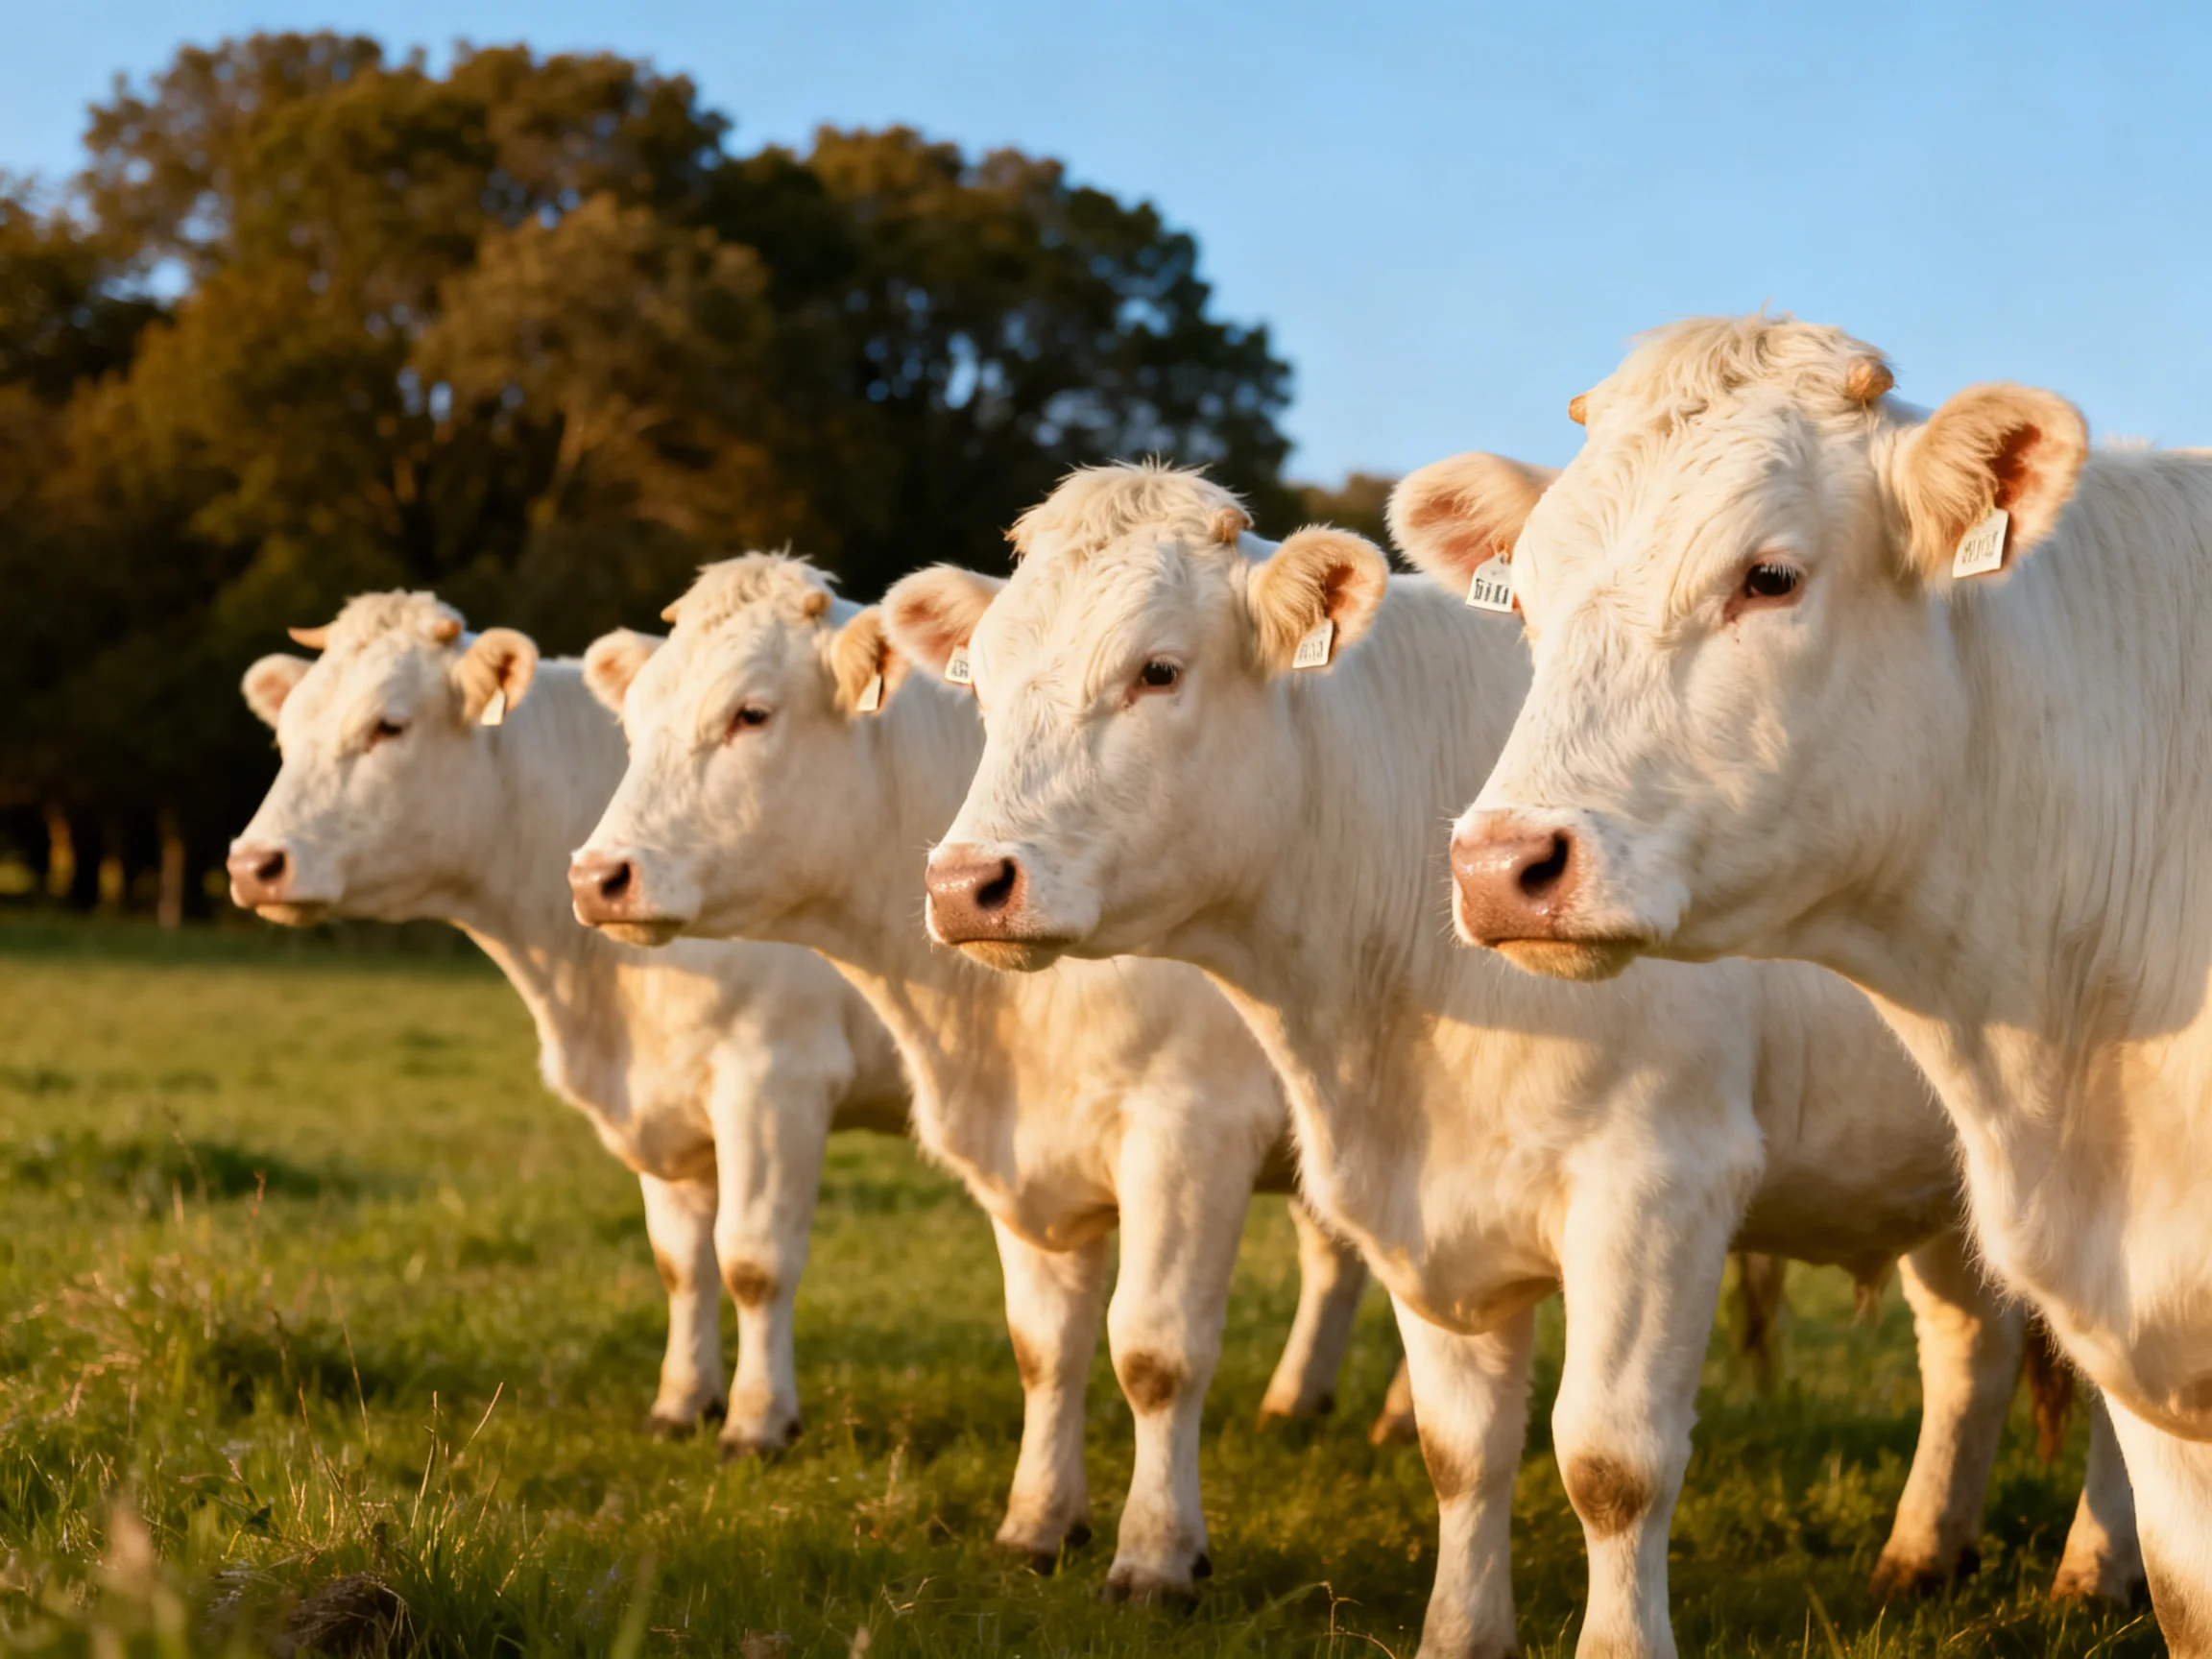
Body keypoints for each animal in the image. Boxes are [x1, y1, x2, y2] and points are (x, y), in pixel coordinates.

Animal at [228, 590, 914, 1457]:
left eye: (389, 725)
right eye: (287, 734)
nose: (254, 865)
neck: (599, 999)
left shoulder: (774, 1079)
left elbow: (753, 1260)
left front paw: (757, 1422)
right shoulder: (664, 1098)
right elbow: (681, 1262)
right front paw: (681, 1402)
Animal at [564, 554, 1387, 1601]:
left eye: (751, 713)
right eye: (636, 721)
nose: (599, 877)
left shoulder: (1188, 1131)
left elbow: (1155, 1351)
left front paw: (1156, 1557)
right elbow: (1042, 1346)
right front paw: (1037, 1524)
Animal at [892, 463, 2140, 1659]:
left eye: (1157, 671)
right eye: (981, 686)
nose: (962, 883)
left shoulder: (1659, 1183)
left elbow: (1609, 1460)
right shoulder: (1423, 1203)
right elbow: (1460, 1448)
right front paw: (1459, 1632)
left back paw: (2095, 1570)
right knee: (1973, 1346)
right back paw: (1924, 1553)